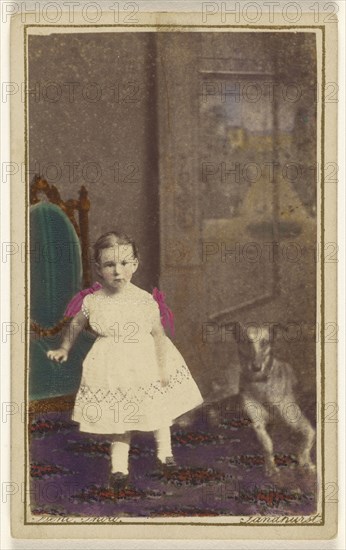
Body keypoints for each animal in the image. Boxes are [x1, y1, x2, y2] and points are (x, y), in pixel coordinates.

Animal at [235, 326, 316, 476]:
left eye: (265, 342)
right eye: (246, 341)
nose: (256, 367)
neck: (260, 383)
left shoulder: (299, 422)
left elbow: (307, 440)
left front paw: (305, 462)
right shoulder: (258, 424)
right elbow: (267, 444)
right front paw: (271, 467)